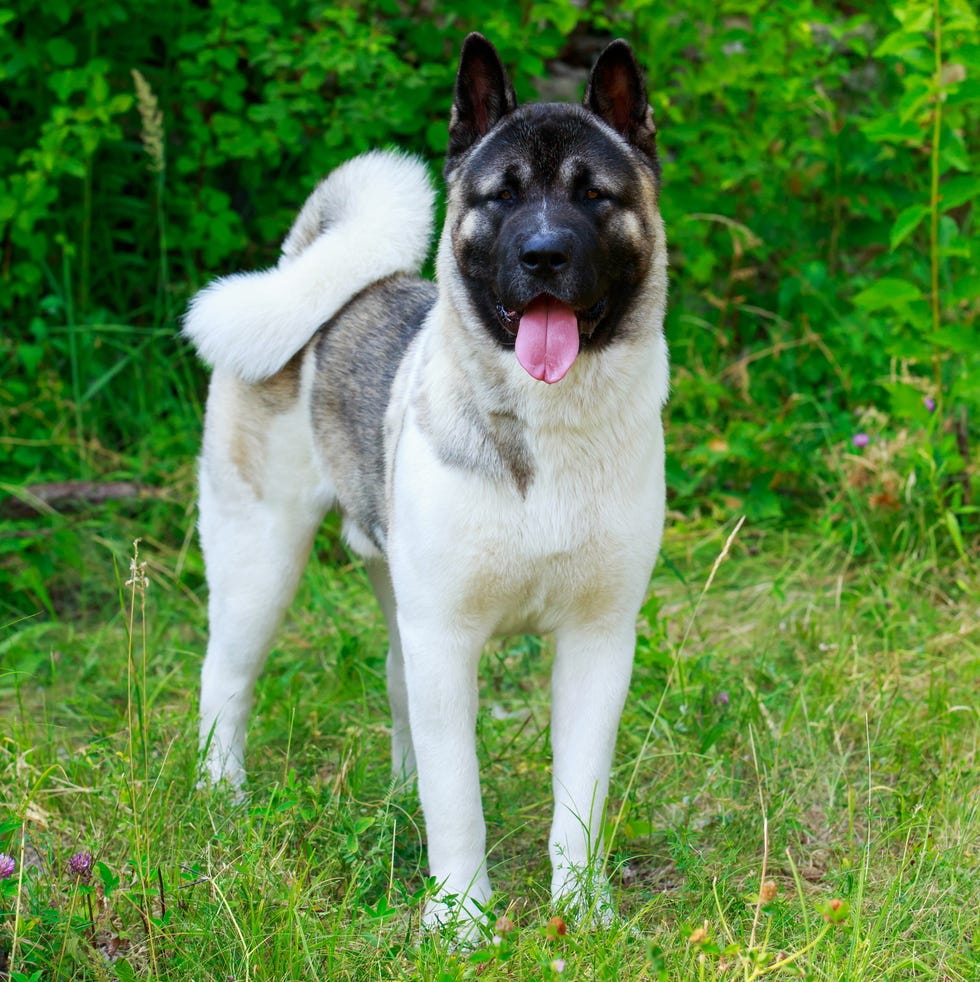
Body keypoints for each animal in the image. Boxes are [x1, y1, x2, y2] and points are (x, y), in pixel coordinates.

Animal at [186, 32, 668, 936]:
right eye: (500, 197)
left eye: (593, 195)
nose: (543, 254)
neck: (543, 423)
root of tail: (311, 269)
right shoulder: (447, 637)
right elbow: (460, 800)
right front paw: (462, 924)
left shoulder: (597, 641)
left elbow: (578, 797)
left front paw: (582, 915)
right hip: (258, 564)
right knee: (225, 682)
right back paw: (219, 803)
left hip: (389, 589)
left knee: (393, 685)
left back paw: (394, 807)